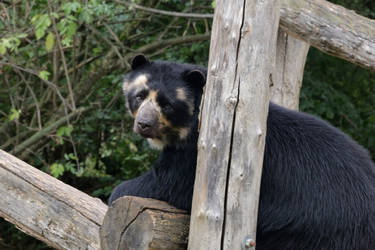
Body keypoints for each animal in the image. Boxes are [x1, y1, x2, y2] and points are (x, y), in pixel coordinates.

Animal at [108, 55, 375, 250]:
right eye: (139, 96)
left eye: (167, 104)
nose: (144, 124)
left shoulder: (201, 151)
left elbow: (170, 183)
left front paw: (117, 193)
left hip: (318, 228)